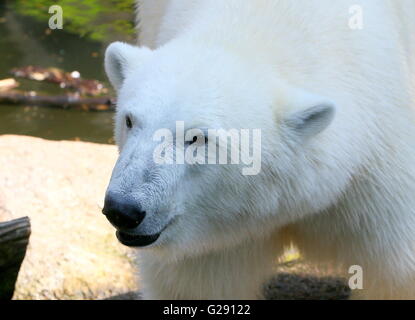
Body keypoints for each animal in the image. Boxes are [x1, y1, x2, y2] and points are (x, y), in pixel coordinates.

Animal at [102, 0, 415, 300]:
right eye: (130, 120)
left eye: (197, 138)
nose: (122, 209)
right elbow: (198, 281)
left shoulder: (377, 169)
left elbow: (394, 274)